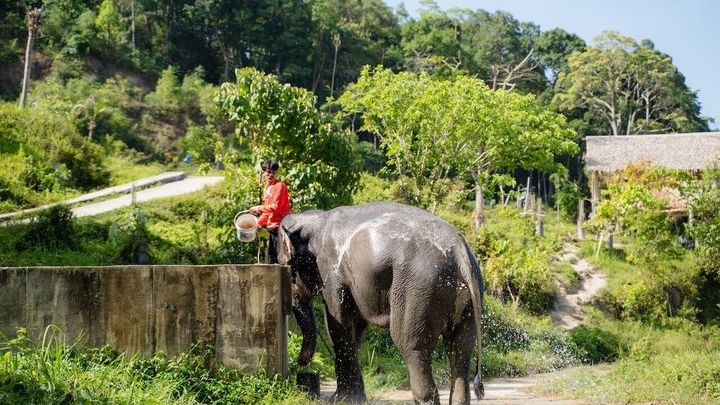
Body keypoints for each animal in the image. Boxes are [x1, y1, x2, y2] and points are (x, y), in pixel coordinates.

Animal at [277, 202, 485, 404]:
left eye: (286, 266)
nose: (301, 363)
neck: (317, 219)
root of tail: (460, 251)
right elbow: (355, 326)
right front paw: (351, 399)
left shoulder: (330, 270)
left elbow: (337, 323)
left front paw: (341, 400)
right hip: (467, 300)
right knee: (461, 348)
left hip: (420, 290)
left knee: (413, 346)